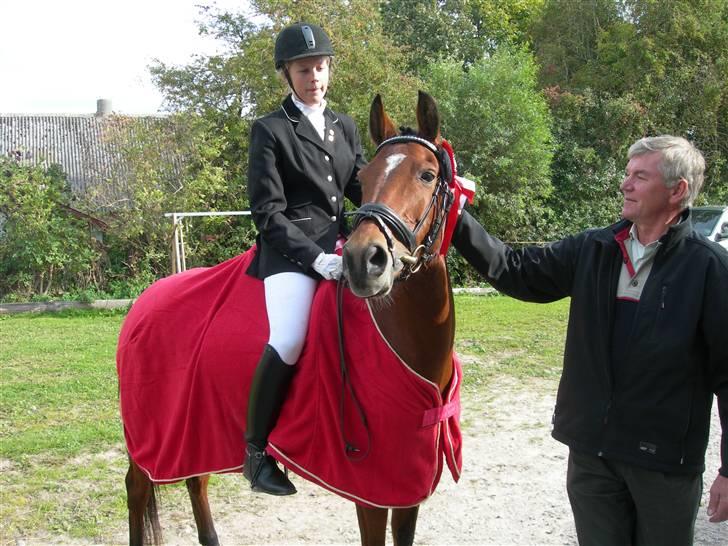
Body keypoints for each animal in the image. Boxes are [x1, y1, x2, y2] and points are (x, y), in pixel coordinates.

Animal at [119, 90, 460, 546]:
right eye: (367, 176)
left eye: (427, 175)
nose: (362, 261)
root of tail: (143, 304)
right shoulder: (371, 490)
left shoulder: (408, 487)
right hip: (148, 439)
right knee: (137, 488)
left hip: (195, 435)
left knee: (196, 480)